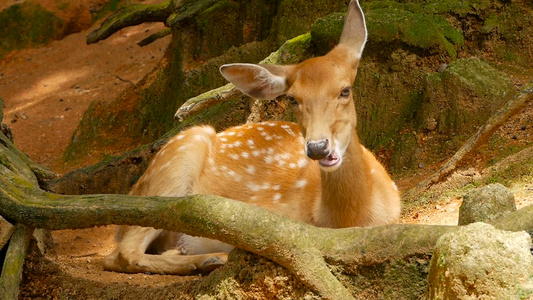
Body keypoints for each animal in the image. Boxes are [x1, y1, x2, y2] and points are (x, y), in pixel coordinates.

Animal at [103, 0, 400, 276]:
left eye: (345, 90)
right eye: (293, 99)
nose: (318, 148)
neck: (346, 218)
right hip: (175, 162)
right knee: (123, 253)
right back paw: (210, 259)